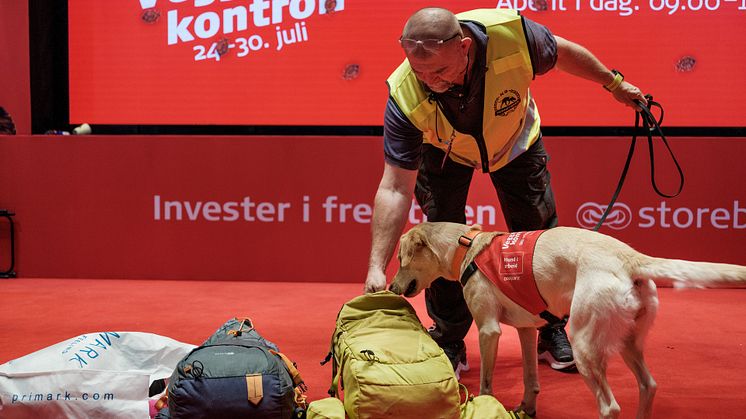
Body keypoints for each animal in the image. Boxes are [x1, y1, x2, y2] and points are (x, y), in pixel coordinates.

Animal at [390, 221, 744, 418]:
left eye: (401, 259)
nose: (391, 287)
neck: (469, 247)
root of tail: (629, 256)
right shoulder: (526, 330)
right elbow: (531, 379)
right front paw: (526, 408)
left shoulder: (488, 330)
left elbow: (486, 385)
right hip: (628, 343)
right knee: (649, 386)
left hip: (585, 347)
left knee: (610, 407)